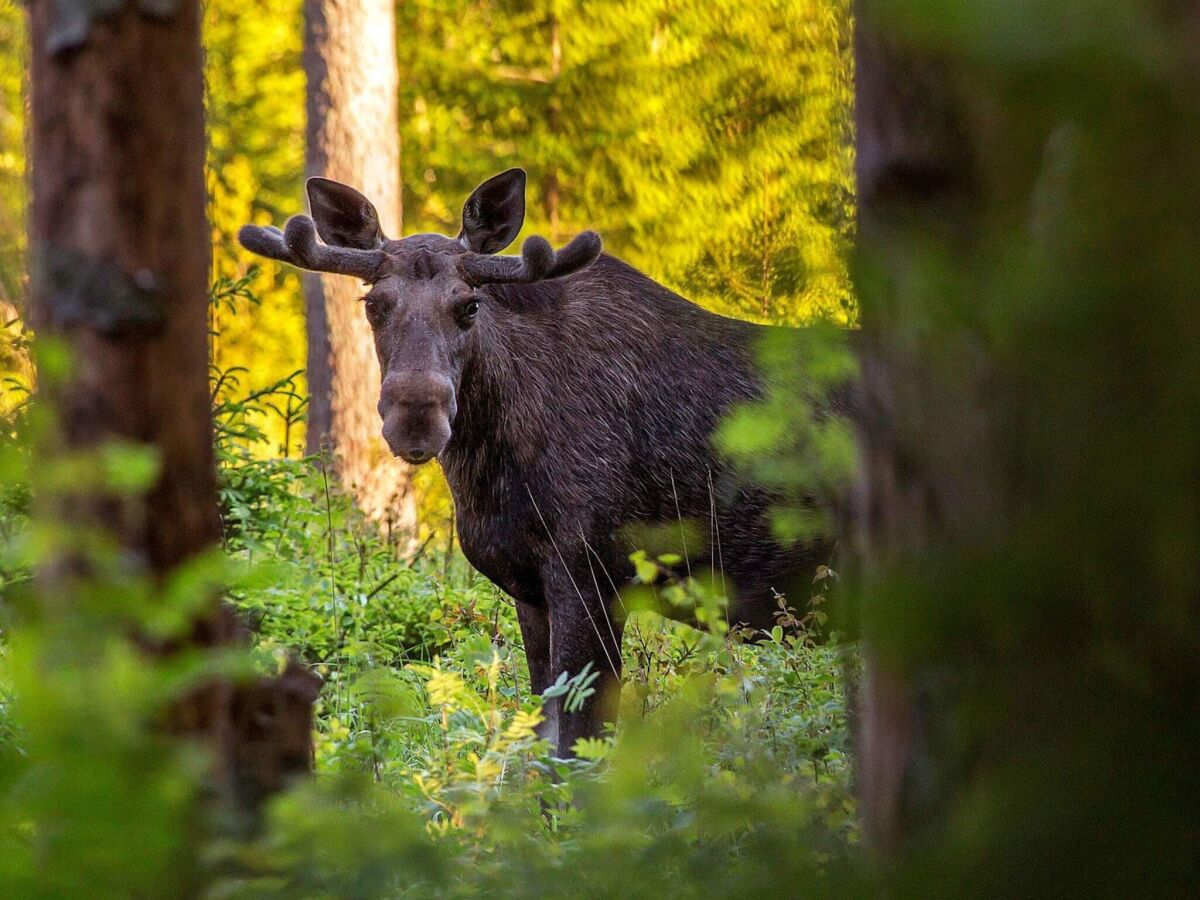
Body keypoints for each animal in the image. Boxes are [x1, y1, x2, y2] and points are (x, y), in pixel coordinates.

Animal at [238, 168, 840, 753]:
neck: (492, 473)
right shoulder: (530, 588)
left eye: (470, 305)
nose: (415, 418)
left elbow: (576, 745)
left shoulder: (594, 572)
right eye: (372, 304)